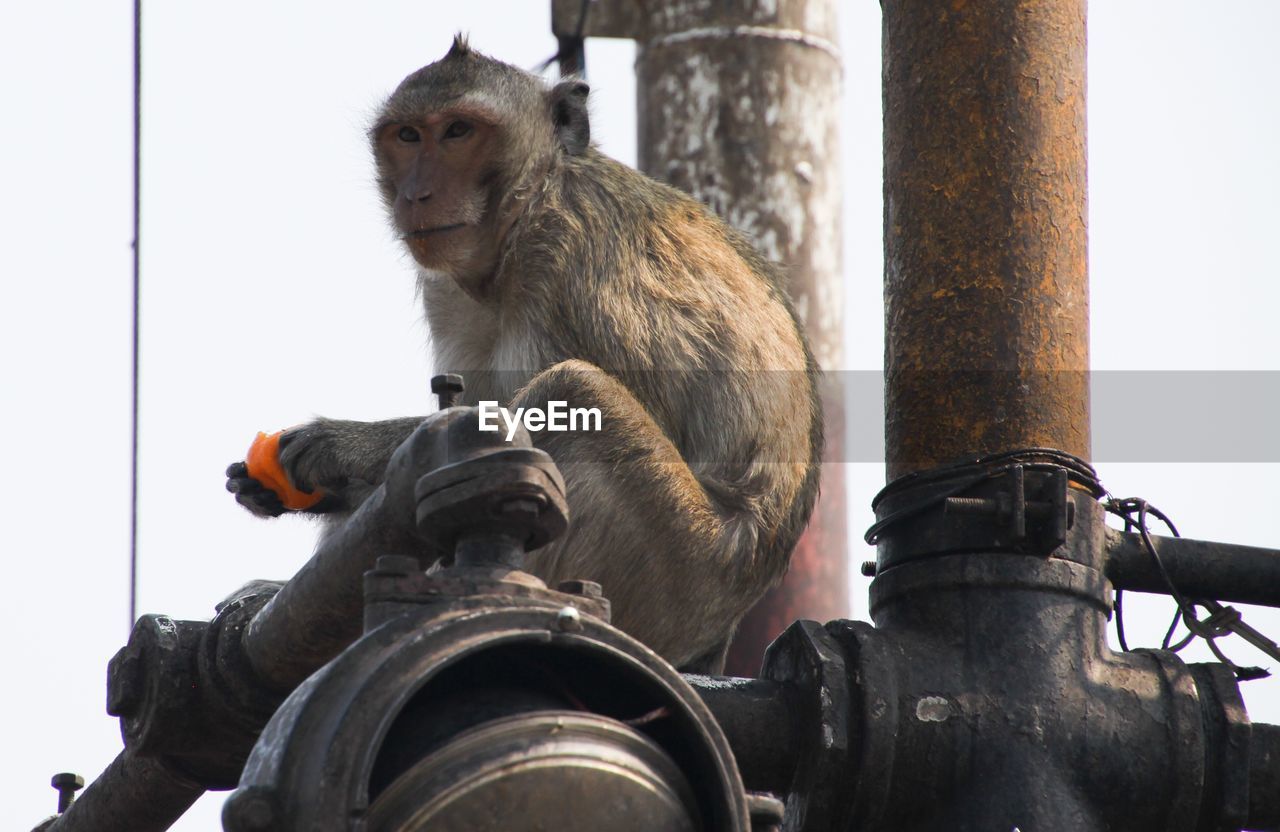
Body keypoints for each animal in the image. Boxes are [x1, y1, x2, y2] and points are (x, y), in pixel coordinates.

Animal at [226, 37, 824, 675]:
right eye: (408, 136)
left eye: (459, 131)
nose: (416, 194)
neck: (522, 215)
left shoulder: (578, 259)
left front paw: (339, 445)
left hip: (685, 566)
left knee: (574, 393)